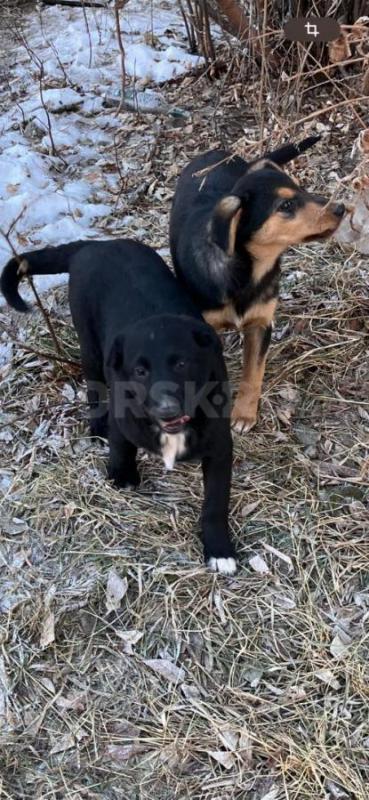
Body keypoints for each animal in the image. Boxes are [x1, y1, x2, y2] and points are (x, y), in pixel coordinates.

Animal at [0, 241, 236, 572]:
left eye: (181, 363)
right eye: (140, 371)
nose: (166, 409)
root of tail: (95, 243)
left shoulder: (219, 447)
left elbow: (215, 502)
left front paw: (219, 550)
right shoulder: (123, 412)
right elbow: (121, 445)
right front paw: (122, 475)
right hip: (90, 347)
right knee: (94, 388)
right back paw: (97, 426)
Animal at [170, 139, 344, 438]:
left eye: (302, 189)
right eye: (286, 204)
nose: (342, 208)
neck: (248, 272)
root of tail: (217, 151)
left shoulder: (262, 324)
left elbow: (254, 374)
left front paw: (243, 414)